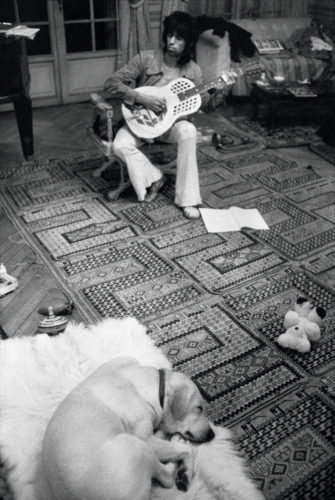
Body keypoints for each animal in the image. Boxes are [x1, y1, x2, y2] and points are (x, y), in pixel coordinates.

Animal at [36, 356, 215, 500]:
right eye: (199, 408)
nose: (212, 434)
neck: (150, 386)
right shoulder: (146, 439)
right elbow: (188, 451)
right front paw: (186, 470)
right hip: (136, 447)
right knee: (166, 478)